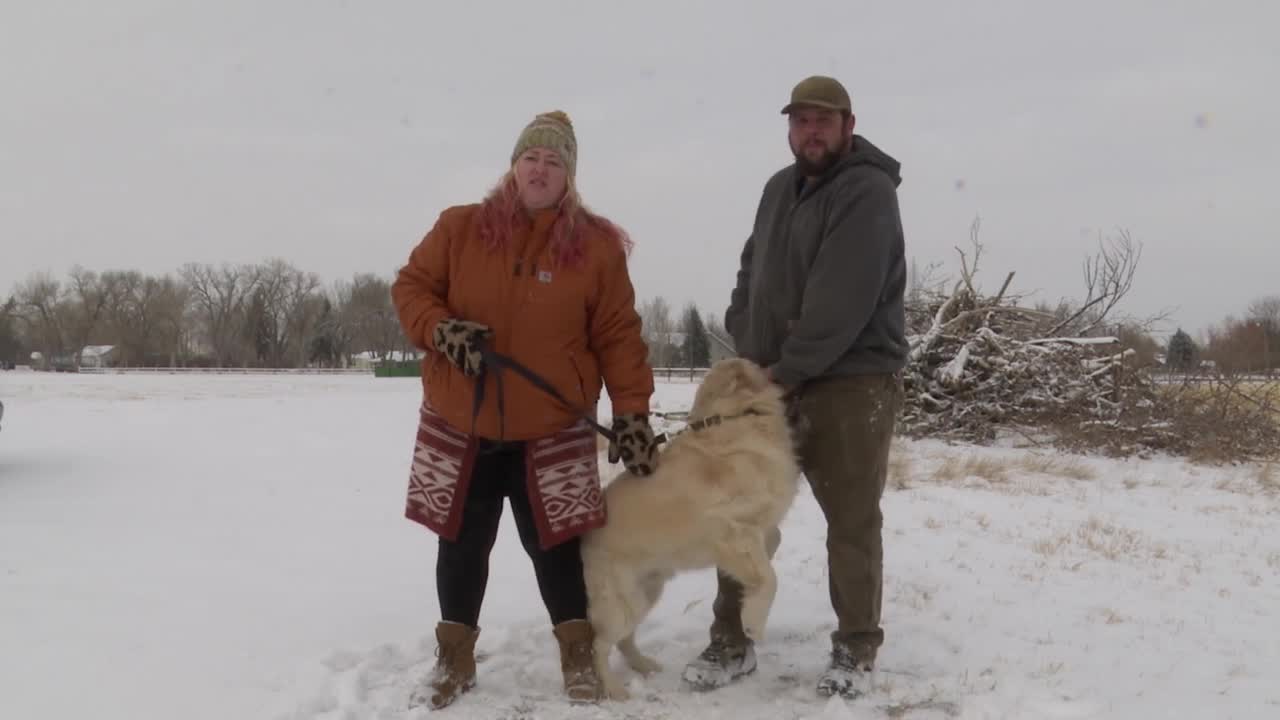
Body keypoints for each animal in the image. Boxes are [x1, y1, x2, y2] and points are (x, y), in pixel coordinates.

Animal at [581, 356, 798, 696]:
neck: (737, 419)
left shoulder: (756, 527)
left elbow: (772, 542)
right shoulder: (729, 527)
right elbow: (769, 577)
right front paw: (753, 621)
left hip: (646, 592)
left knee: (624, 640)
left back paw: (644, 666)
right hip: (621, 602)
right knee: (599, 644)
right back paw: (614, 690)